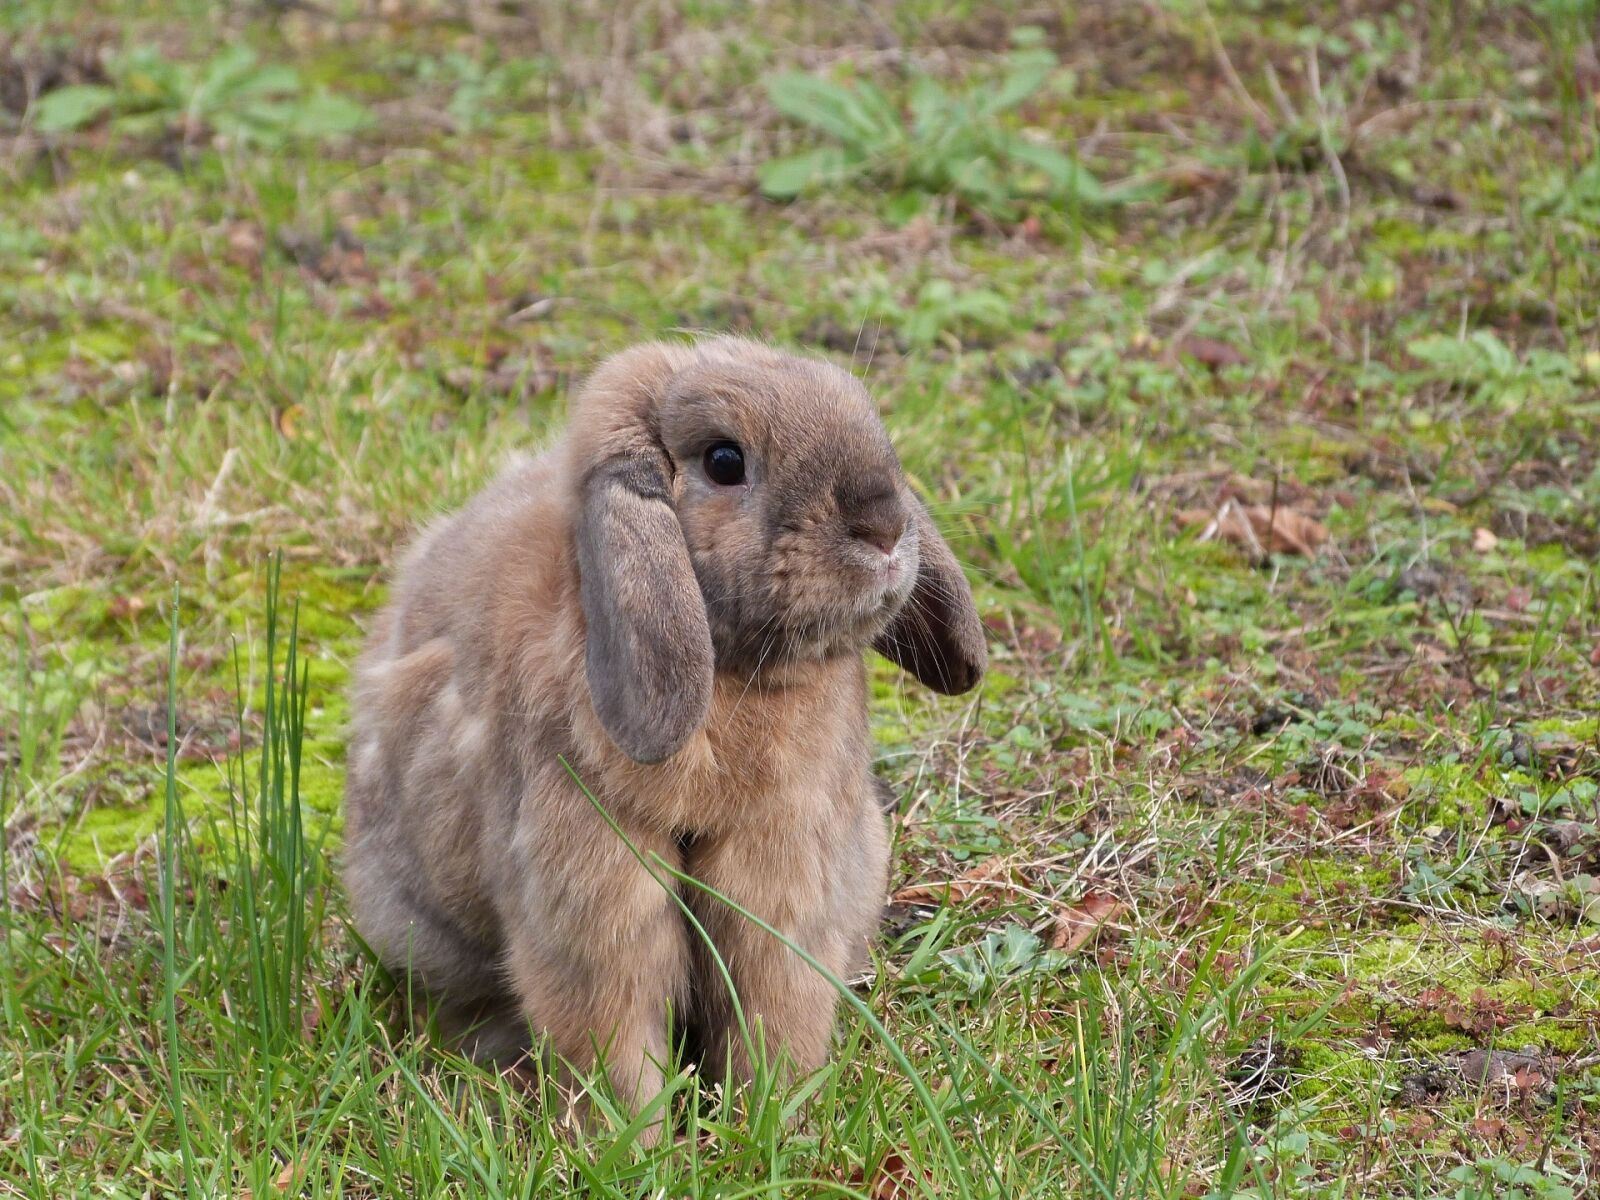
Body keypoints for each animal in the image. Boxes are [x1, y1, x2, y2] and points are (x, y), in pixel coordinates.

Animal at [344, 336, 979, 1139]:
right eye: (724, 461)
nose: (884, 529)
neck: (734, 672)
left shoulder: (784, 883)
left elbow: (774, 1004)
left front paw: (770, 1123)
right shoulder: (593, 906)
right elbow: (613, 1029)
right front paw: (633, 1144)